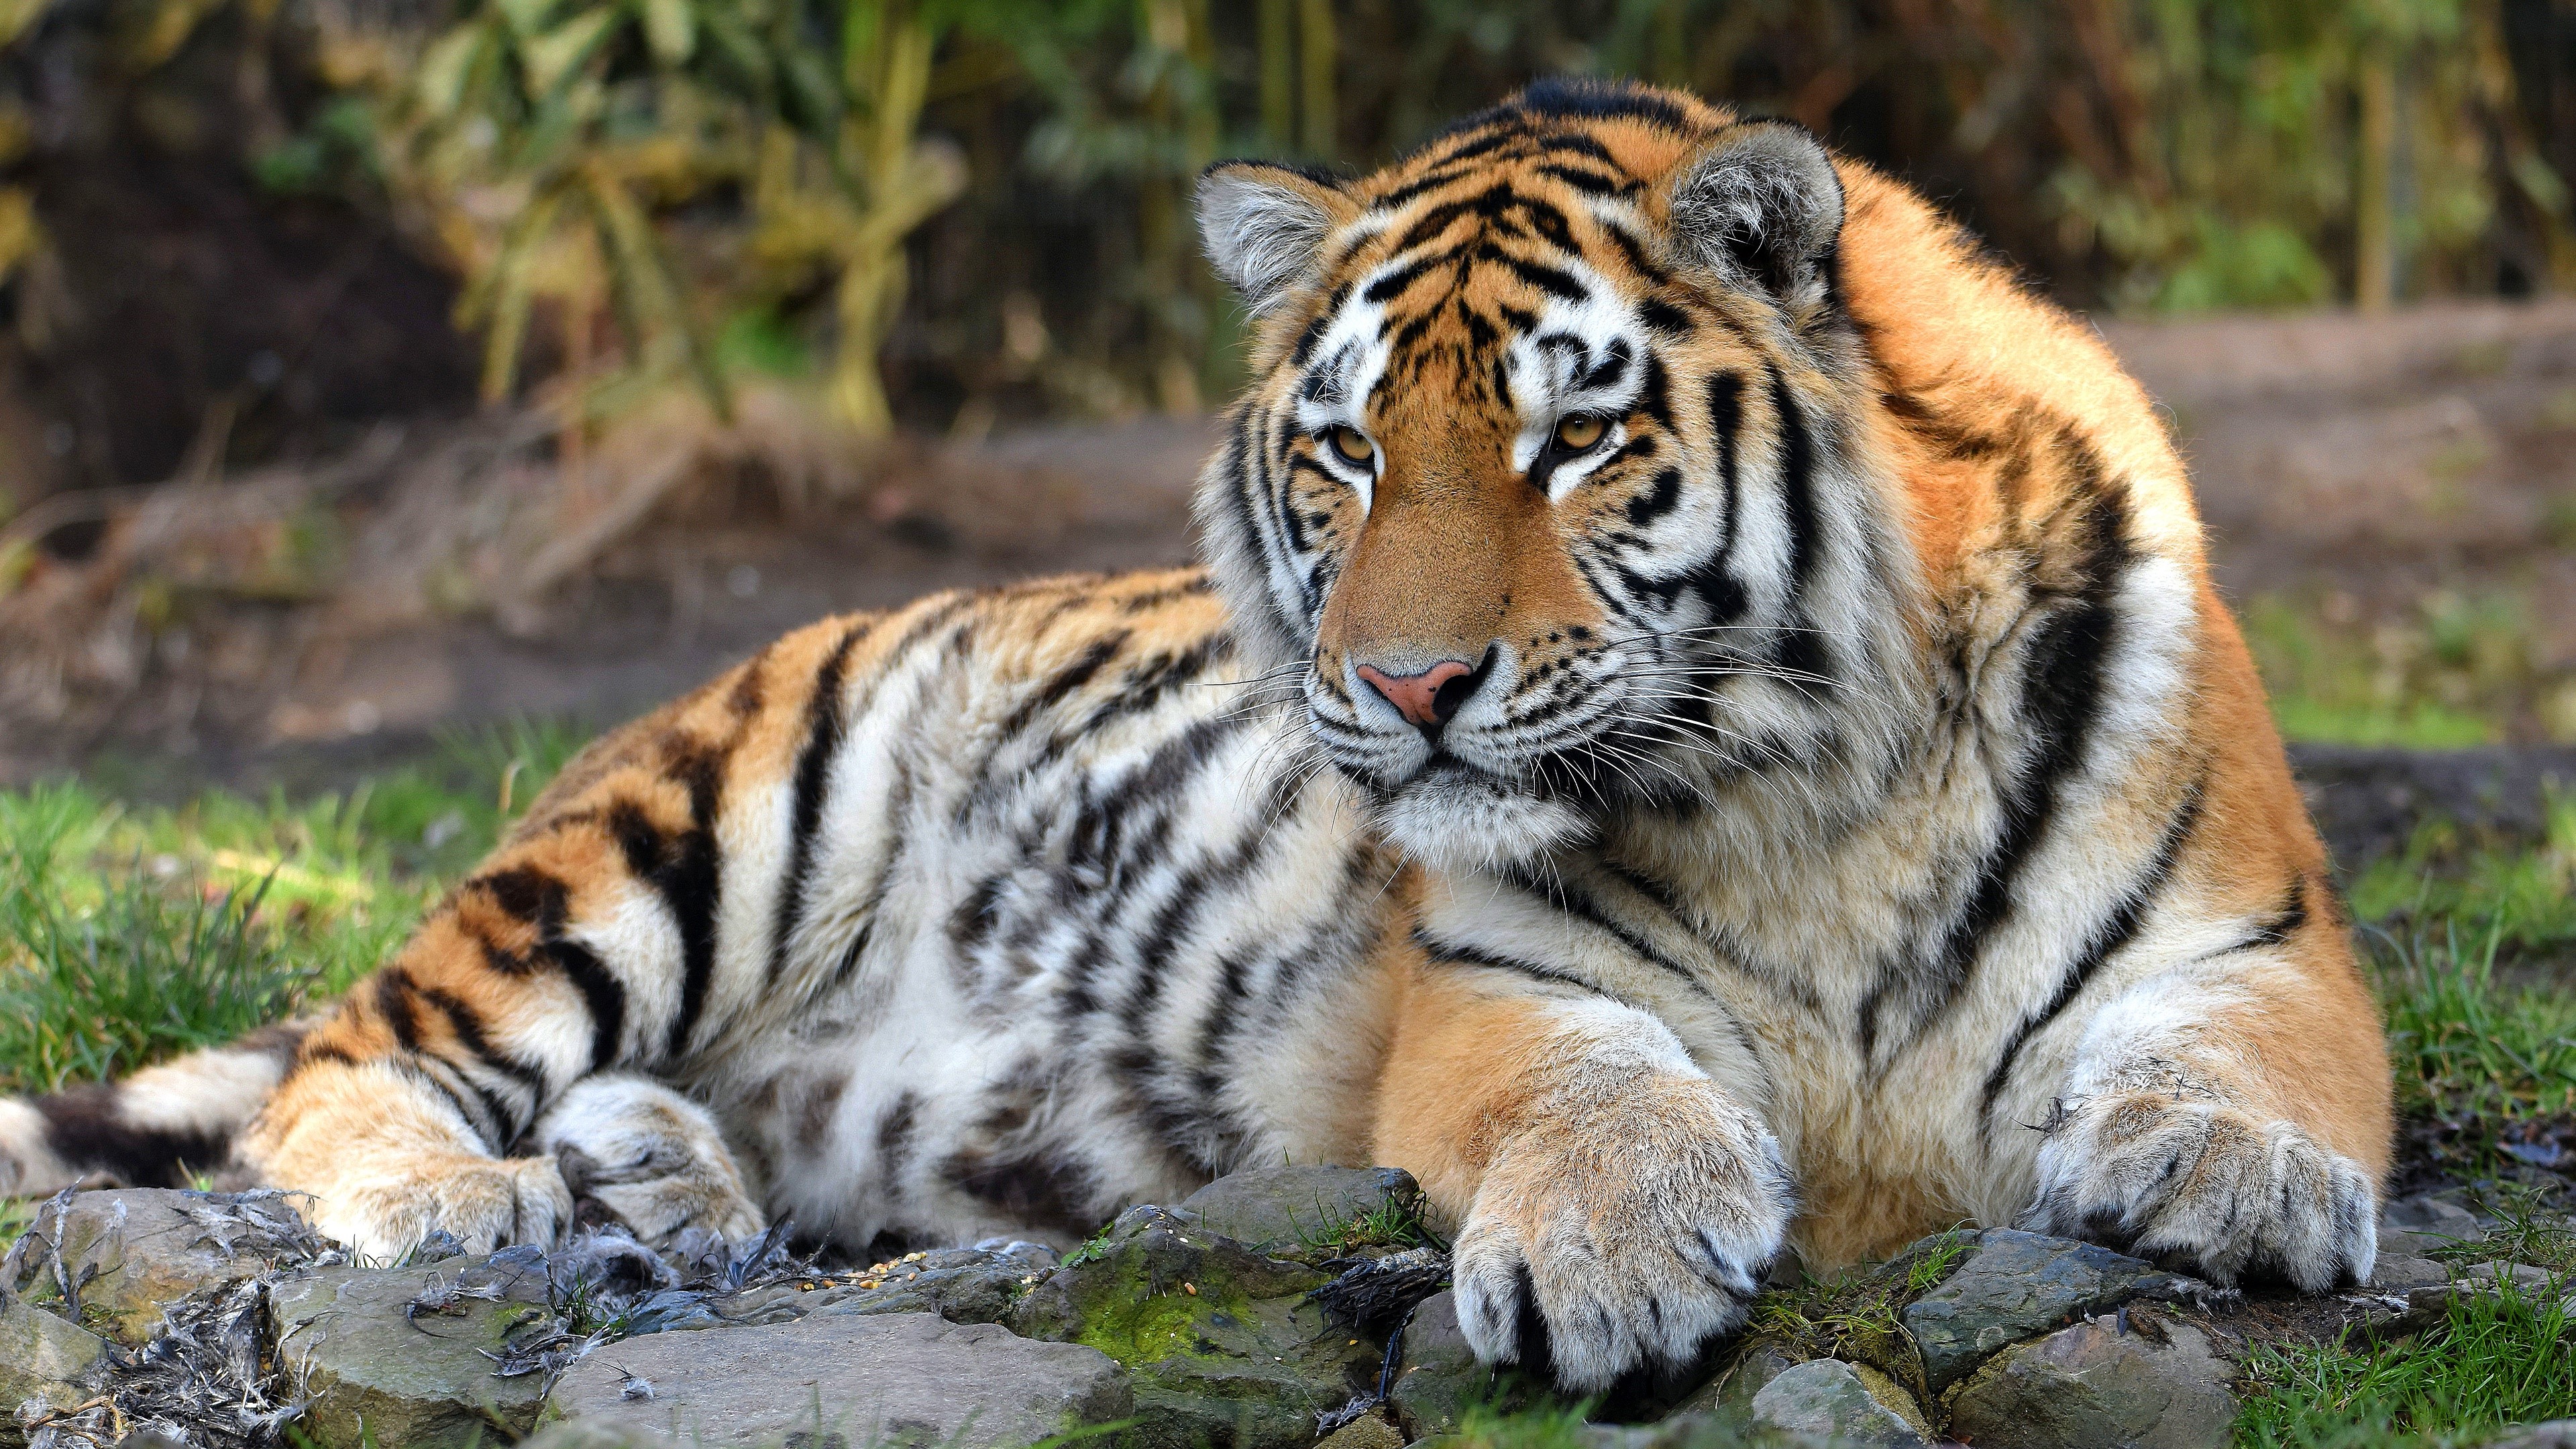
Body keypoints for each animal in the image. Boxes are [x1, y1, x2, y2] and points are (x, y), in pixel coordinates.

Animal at [0, 78, 2390, 1393]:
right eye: (1344, 453)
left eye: (1573, 440)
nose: (1408, 689)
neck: (1809, 785)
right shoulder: (1503, 987)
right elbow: (1593, 1101)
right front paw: (1610, 1262)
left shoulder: (2260, 940)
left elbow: (2241, 1062)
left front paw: (2230, 1182)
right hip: (707, 808)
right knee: (339, 1062)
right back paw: (470, 1204)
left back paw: (667, 1180)